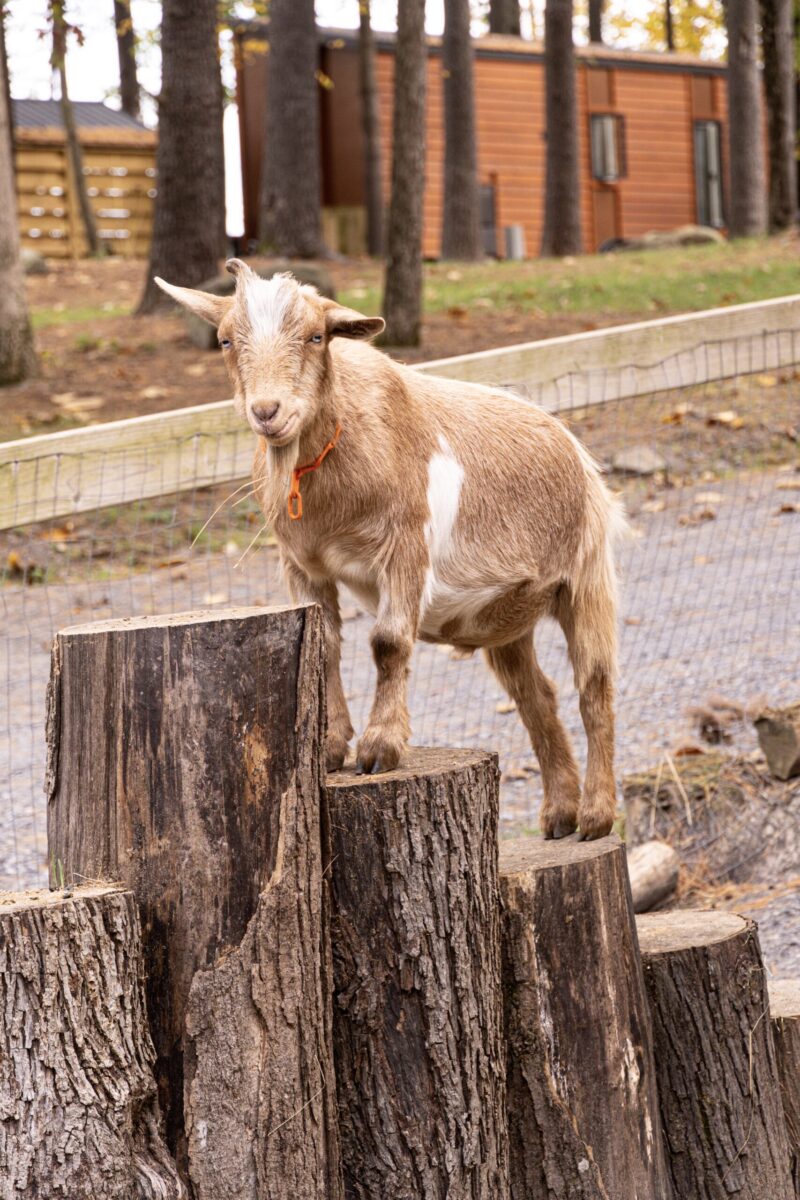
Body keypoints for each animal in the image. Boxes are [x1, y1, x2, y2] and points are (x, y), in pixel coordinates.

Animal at [154, 261, 618, 840]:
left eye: (315, 336)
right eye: (223, 340)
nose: (267, 411)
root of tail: (572, 445)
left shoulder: (405, 545)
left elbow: (389, 641)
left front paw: (379, 749)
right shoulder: (302, 565)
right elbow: (324, 645)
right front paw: (331, 747)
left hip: (586, 577)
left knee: (594, 688)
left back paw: (596, 815)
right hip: (506, 621)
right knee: (537, 696)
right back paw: (558, 814)